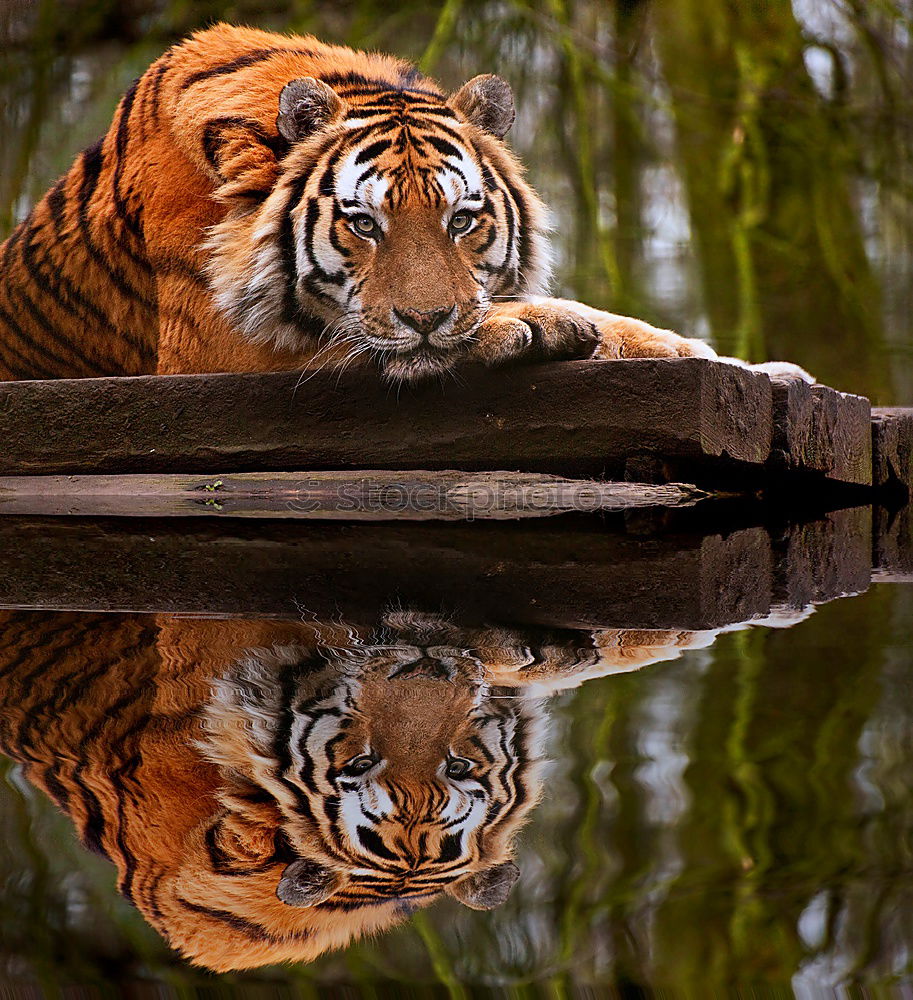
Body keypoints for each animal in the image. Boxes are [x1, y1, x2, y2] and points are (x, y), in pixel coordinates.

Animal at [0, 24, 808, 382]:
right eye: (363, 224)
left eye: (462, 220)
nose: (427, 320)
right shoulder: (217, 351)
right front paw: (532, 324)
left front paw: (755, 368)